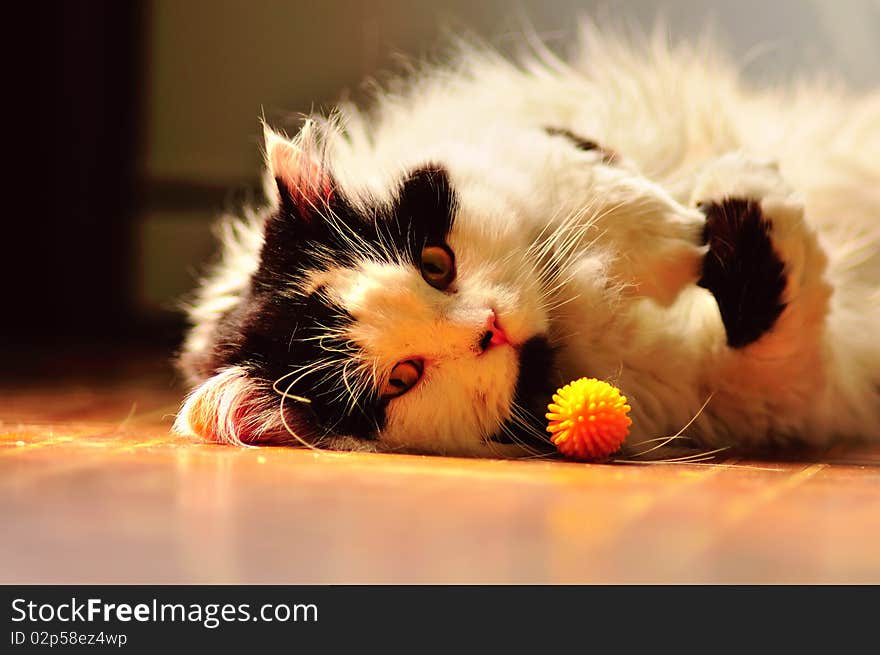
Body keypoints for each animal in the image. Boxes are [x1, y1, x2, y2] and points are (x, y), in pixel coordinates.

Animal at [172, 25, 880, 462]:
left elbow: (594, 194)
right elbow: (771, 308)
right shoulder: (761, 393)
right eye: (403, 377)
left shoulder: (534, 137)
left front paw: (687, 231)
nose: (490, 328)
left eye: (435, 264)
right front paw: (735, 194)